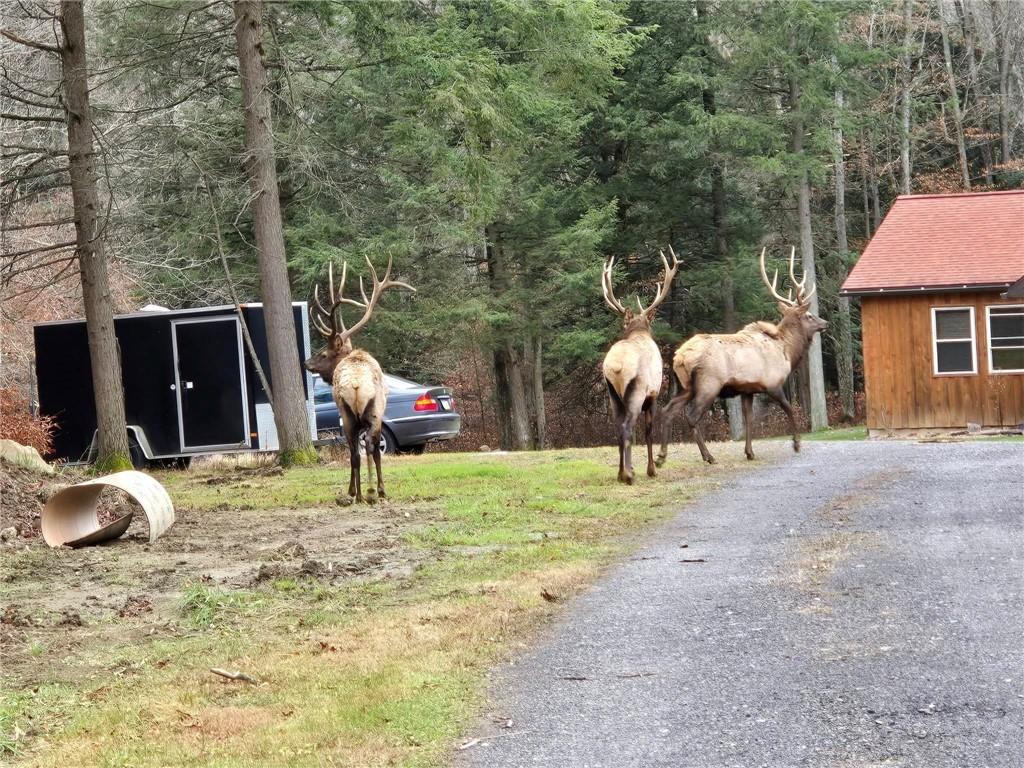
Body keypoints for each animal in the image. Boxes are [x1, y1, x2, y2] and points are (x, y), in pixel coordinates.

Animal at [305, 257, 415, 505]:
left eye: (322, 354)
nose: (306, 363)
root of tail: (356, 385)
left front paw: (355, 490)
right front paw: (366, 489)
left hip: (349, 414)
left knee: (357, 451)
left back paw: (361, 493)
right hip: (372, 412)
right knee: (368, 448)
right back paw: (373, 491)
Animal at [601, 247, 681, 484]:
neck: (639, 330)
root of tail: (615, 366)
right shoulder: (653, 394)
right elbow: (648, 431)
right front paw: (651, 469)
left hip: (612, 394)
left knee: (618, 427)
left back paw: (621, 473)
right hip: (636, 391)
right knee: (628, 426)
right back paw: (628, 475)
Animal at [656, 246, 827, 466]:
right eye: (809, 316)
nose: (825, 323)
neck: (787, 351)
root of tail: (680, 357)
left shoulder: (748, 390)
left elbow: (749, 419)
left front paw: (749, 452)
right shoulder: (773, 383)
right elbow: (789, 408)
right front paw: (796, 444)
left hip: (684, 386)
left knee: (667, 411)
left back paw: (661, 456)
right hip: (708, 384)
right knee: (692, 416)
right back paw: (708, 456)